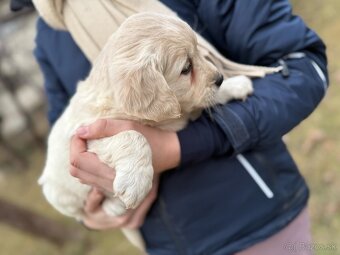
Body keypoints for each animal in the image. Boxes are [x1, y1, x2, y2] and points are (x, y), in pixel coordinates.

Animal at [39, 12, 252, 250]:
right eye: (186, 68)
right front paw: (135, 184)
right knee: (83, 210)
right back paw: (114, 205)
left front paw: (236, 85)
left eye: (198, 51)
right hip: (57, 194)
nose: (220, 78)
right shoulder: (85, 135)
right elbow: (134, 135)